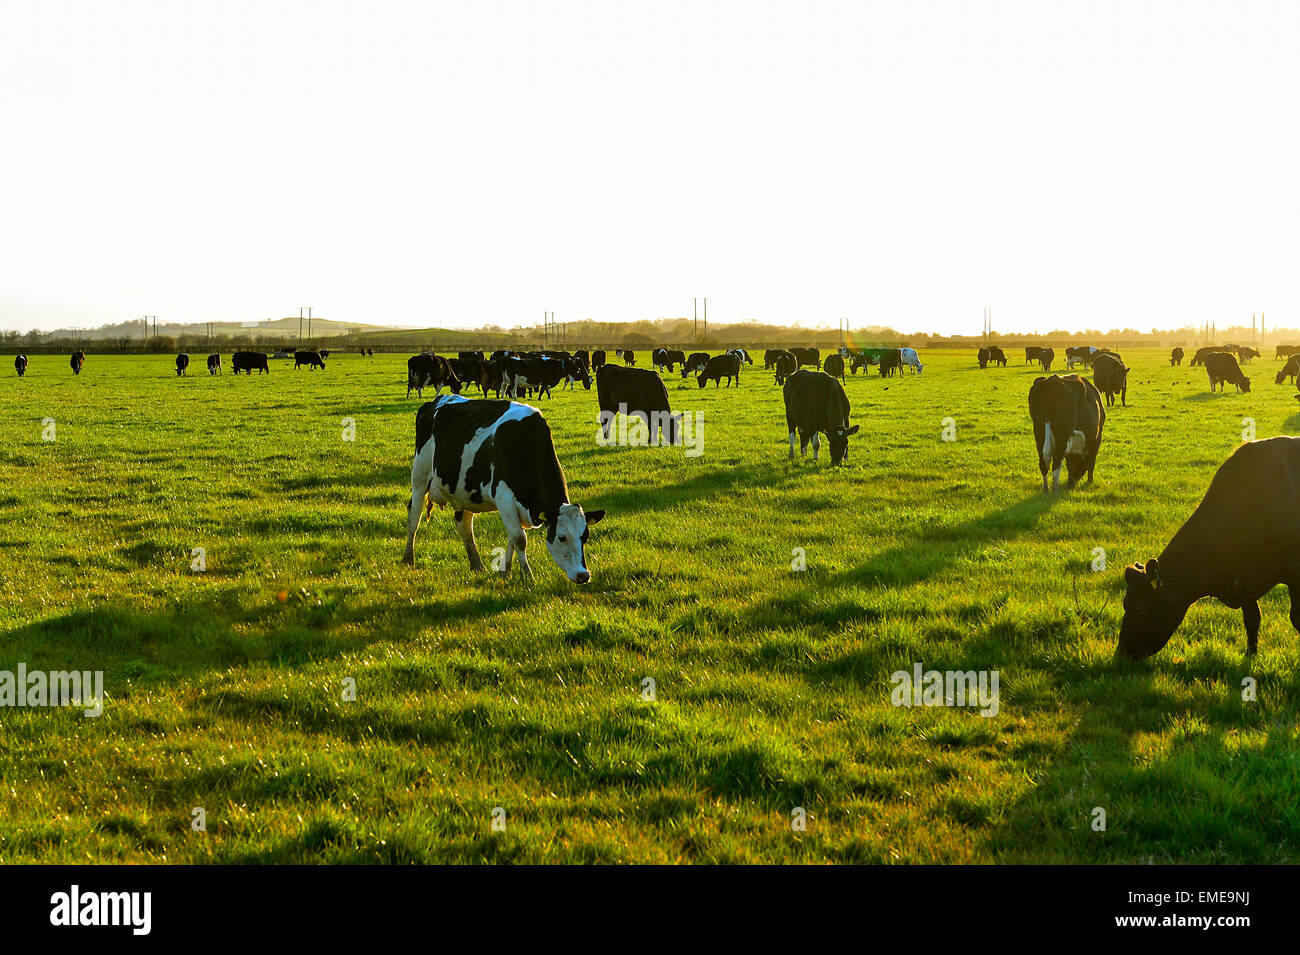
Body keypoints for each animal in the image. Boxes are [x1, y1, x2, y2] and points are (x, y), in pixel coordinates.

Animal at [403, 394, 605, 582]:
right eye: (562, 537)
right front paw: (528, 575)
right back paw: (408, 559)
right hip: (419, 475)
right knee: (414, 516)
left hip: (464, 491)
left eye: (585, 536)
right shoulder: (504, 497)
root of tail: (438, 400)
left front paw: (505, 570)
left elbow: (512, 539)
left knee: (464, 524)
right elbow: (519, 538)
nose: (583, 575)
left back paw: (477, 565)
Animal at [1112, 436, 1300, 660]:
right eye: (1125, 604)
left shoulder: (1294, 576)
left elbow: (1296, 618)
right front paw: (1251, 655)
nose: (1122, 652)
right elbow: (1252, 619)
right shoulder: (1247, 579)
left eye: (1138, 607)